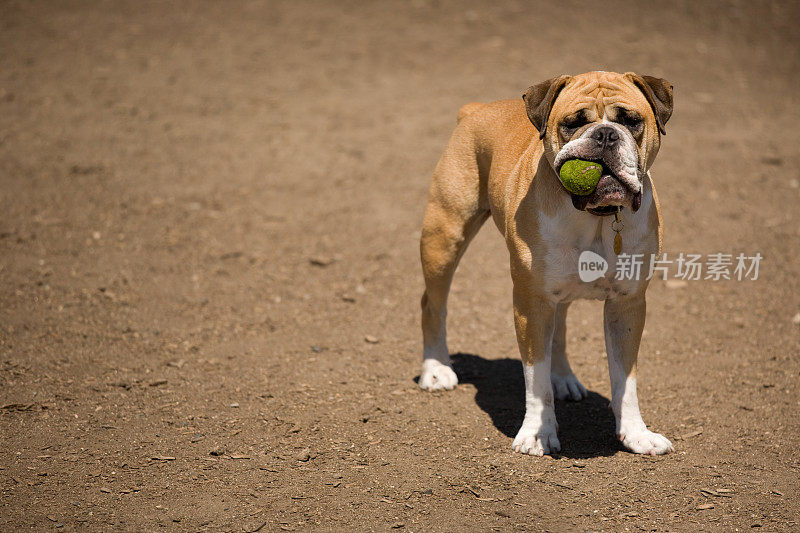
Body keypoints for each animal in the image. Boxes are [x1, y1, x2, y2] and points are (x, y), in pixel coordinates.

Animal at [418, 68, 676, 456]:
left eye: (631, 121)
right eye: (573, 123)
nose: (605, 134)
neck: (598, 217)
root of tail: (474, 110)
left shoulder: (627, 305)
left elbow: (625, 379)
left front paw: (636, 433)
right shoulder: (531, 304)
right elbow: (535, 378)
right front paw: (538, 433)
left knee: (561, 326)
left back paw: (564, 379)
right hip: (444, 237)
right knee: (433, 303)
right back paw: (436, 369)